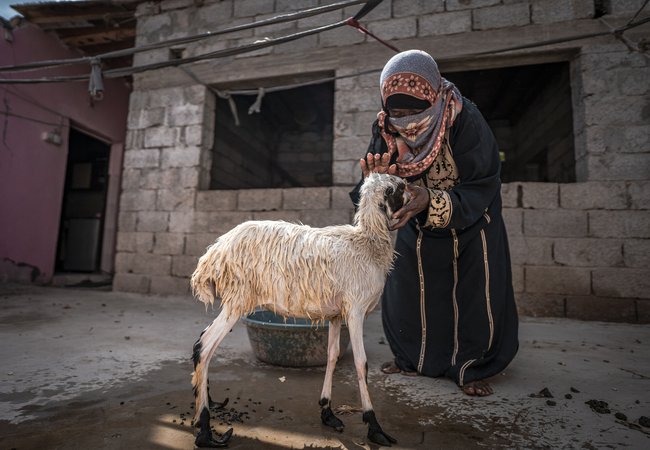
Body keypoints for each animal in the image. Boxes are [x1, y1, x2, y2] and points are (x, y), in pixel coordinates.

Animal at [190, 172, 408, 446]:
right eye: (399, 188)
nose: (412, 191)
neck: (367, 242)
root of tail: (213, 255)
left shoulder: (337, 314)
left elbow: (332, 355)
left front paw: (328, 412)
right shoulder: (355, 311)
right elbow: (361, 363)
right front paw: (374, 426)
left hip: (234, 299)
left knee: (201, 342)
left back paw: (203, 410)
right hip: (237, 299)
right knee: (205, 345)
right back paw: (205, 432)